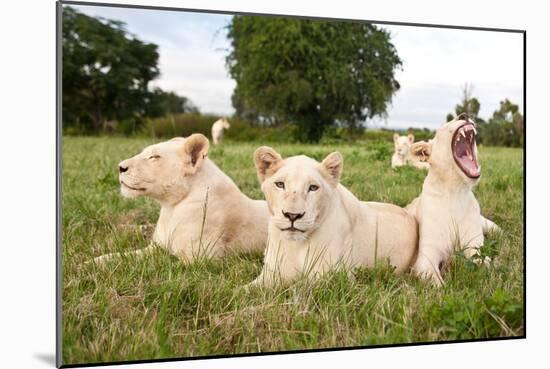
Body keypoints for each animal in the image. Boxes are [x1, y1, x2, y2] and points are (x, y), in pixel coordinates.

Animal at [91, 134, 270, 264]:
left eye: (154, 157)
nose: (120, 167)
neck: (171, 208)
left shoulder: (199, 260)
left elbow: (162, 264)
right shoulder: (156, 247)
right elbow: (120, 256)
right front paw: (90, 263)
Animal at [249, 146, 418, 284]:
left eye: (313, 187)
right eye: (280, 184)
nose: (292, 215)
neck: (296, 245)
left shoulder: (330, 278)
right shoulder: (269, 274)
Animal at [408, 113, 502, 286]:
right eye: (444, 126)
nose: (464, 115)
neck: (455, 191)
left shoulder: (474, 246)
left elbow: (486, 263)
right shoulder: (426, 257)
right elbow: (437, 283)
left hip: (491, 226)